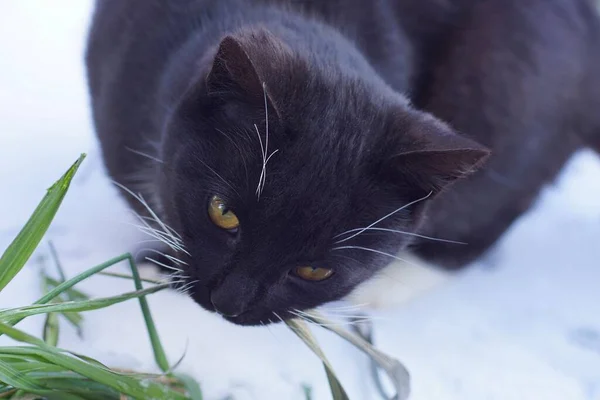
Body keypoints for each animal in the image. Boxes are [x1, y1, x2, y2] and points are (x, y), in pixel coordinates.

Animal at [86, 0, 600, 324]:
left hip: (512, 96)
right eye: (222, 213)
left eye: (316, 272)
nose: (230, 303)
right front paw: (161, 262)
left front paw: (157, 266)